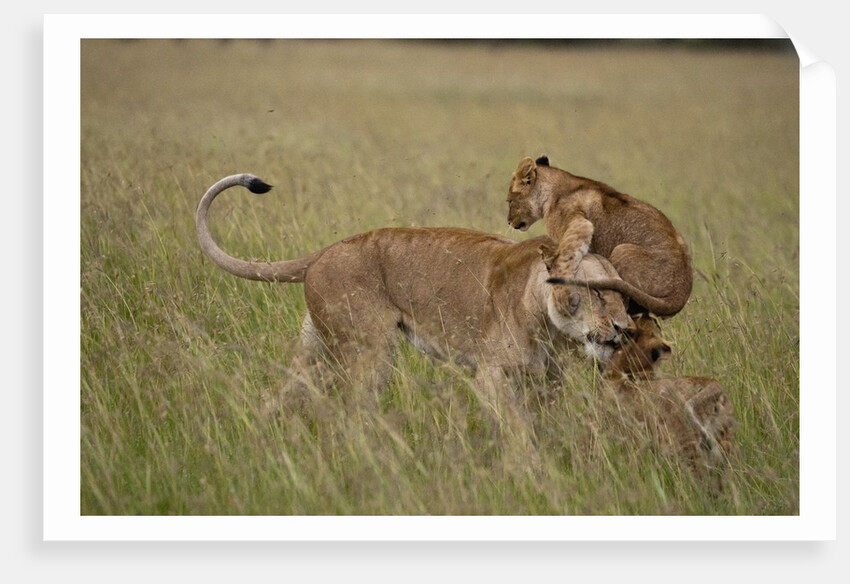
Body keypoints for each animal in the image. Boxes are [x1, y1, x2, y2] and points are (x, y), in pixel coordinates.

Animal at [196, 174, 633, 413]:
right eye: (595, 293)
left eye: (624, 297)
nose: (624, 329)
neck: (551, 328)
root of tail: (327, 250)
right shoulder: (490, 376)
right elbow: (519, 436)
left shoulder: (547, 382)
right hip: (370, 349)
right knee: (353, 410)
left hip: (316, 348)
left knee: (279, 396)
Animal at [507, 155, 693, 317]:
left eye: (509, 201)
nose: (508, 222)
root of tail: (682, 291)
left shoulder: (580, 223)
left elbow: (567, 256)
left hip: (622, 250)